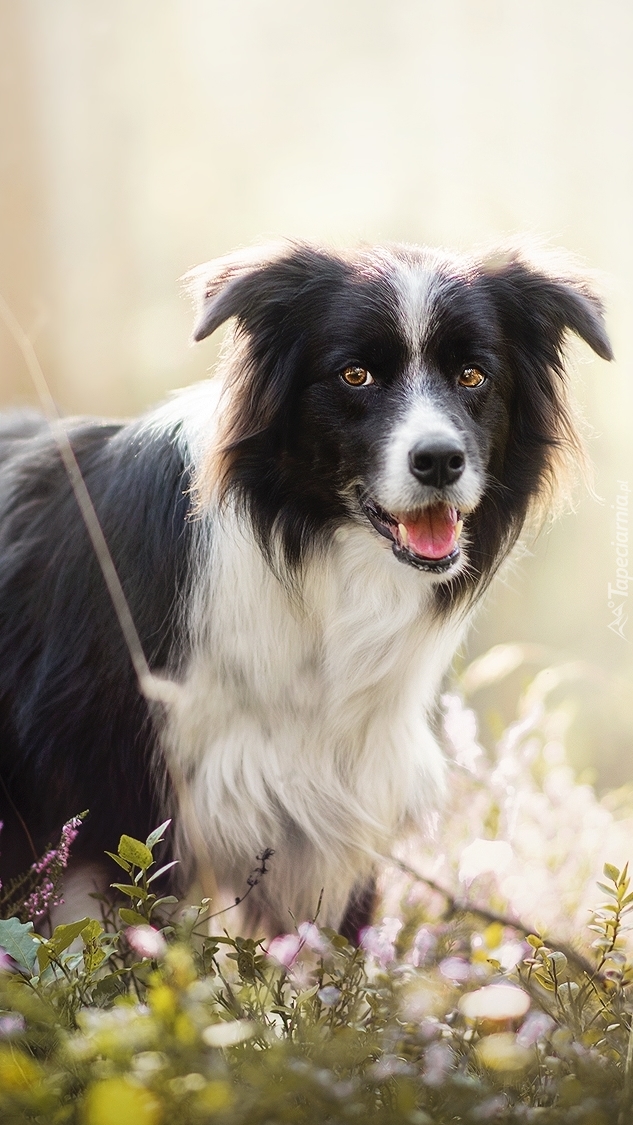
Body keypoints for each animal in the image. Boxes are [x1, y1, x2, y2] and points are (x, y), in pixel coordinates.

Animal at [0, 244, 611, 931]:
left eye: (474, 376)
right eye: (355, 375)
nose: (439, 461)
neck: (318, 562)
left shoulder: (343, 808)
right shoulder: (116, 816)